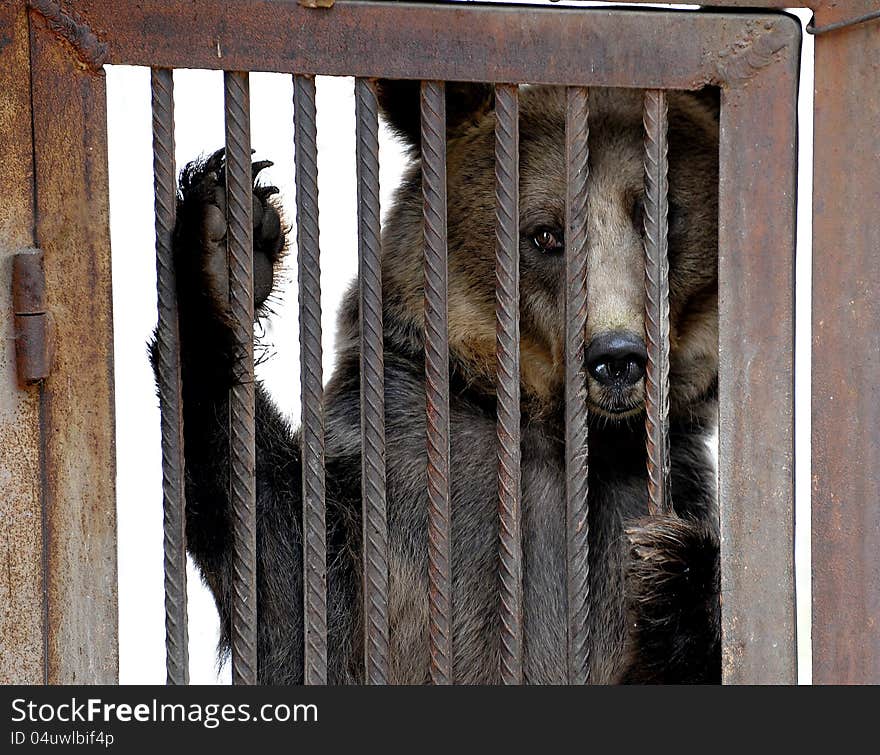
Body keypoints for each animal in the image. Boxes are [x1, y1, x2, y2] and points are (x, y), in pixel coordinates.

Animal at [156, 81, 720, 684]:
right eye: (545, 234)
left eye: (660, 218)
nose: (617, 358)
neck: (551, 429)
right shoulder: (401, 473)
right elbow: (294, 596)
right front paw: (221, 241)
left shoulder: (649, 490)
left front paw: (675, 570)